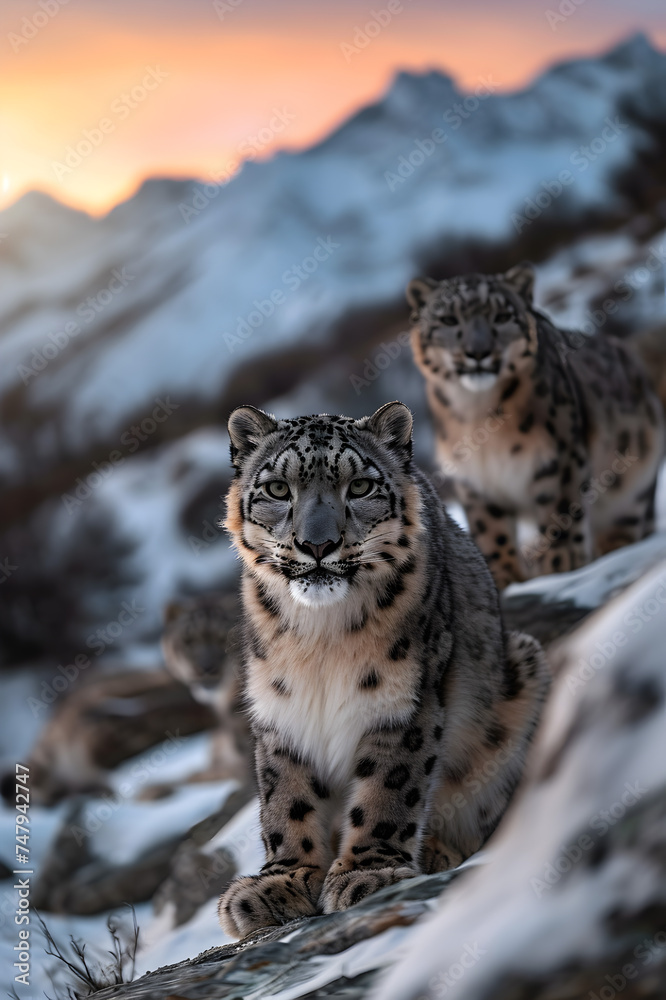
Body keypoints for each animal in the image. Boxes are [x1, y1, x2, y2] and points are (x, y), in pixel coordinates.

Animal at [216, 401, 550, 939]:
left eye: (359, 487)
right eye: (278, 489)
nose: (317, 545)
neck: (320, 638)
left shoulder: (404, 700)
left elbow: (388, 789)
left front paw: (367, 872)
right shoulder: (280, 707)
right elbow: (286, 796)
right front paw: (281, 882)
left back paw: (436, 851)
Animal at [407, 262, 665, 589]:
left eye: (502, 316)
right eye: (448, 319)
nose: (477, 352)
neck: (477, 412)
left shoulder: (560, 457)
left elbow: (560, 511)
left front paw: (560, 564)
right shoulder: (474, 479)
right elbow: (489, 529)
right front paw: (502, 576)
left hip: (636, 475)